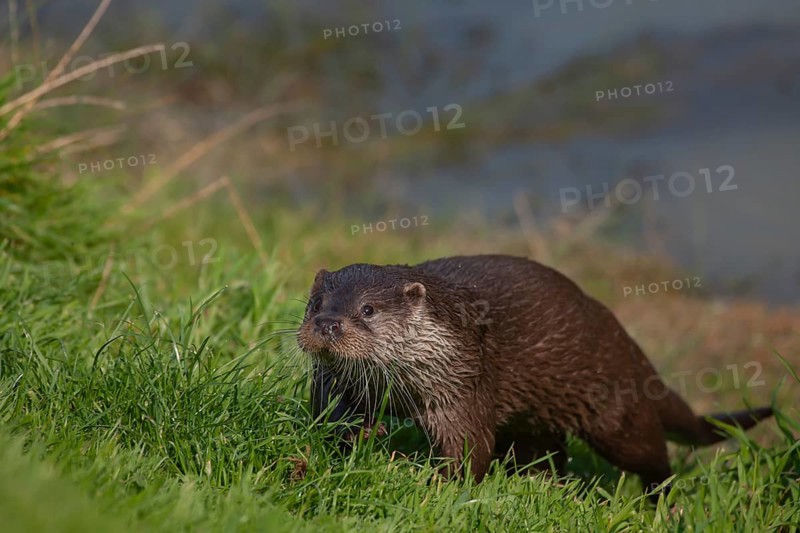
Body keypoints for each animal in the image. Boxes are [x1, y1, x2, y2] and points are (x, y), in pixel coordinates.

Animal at [296, 255, 773, 497]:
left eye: (368, 310)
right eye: (316, 302)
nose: (328, 324)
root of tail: (624, 339)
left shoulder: (463, 383)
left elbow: (469, 448)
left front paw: (438, 483)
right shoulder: (336, 384)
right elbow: (330, 416)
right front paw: (352, 441)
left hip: (616, 411)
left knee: (653, 454)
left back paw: (660, 498)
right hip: (536, 423)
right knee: (547, 451)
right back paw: (542, 482)